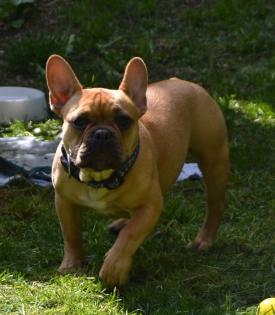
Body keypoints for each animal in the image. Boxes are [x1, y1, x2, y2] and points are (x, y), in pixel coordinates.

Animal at [45, 55, 231, 288]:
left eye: (124, 121)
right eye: (79, 121)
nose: (102, 134)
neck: (100, 177)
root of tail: (181, 82)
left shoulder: (150, 206)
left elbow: (130, 236)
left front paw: (114, 268)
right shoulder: (64, 202)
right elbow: (70, 234)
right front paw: (71, 265)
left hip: (213, 160)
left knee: (215, 205)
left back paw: (203, 240)